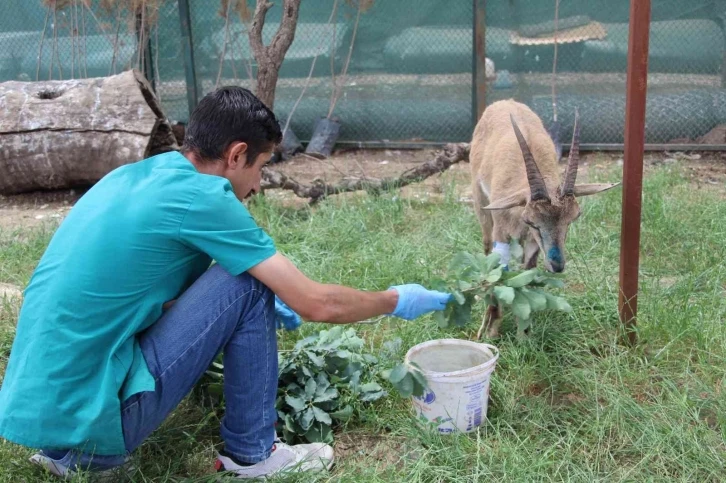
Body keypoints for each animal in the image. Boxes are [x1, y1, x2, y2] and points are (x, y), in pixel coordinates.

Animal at [472, 100, 620, 338]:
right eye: (532, 221)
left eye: (572, 219)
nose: (557, 265)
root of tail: (504, 102)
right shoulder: (502, 231)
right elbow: (498, 270)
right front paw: (490, 331)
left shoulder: (534, 243)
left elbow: (528, 271)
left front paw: (524, 330)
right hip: (481, 204)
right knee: (486, 245)